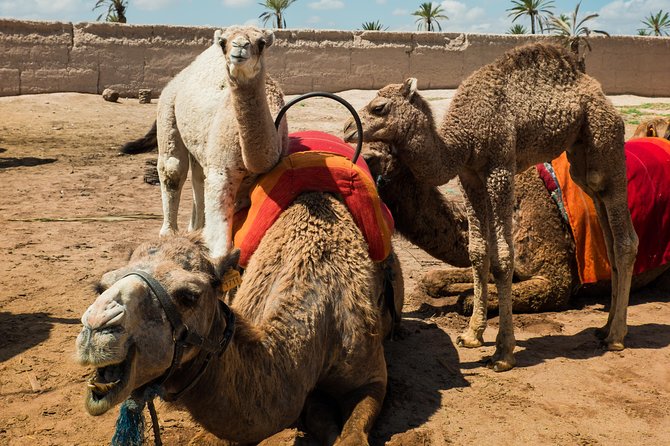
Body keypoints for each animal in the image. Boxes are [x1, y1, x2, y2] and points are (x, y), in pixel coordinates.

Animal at [123, 25, 288, 268]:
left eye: (261, 43)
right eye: (223, 42)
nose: (239, 47)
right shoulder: (223, 170)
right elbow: (219, 240)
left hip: (201, 143)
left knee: (198, 178)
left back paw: (195, 228)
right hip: (167, 109)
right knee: (173, 170)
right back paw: (169, 233)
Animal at [346, 41, 640, 372]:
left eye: (379, 107)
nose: (347, 128)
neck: (461, 141)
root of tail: (597, 90)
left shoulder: (500, 169)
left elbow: (502, 258)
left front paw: (503, 353)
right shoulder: (469, 177)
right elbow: (478, 252)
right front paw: (471, 335)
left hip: (605, 135)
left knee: (624, 237)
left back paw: (616, 336)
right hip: (581, 153)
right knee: (603, 217)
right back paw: (605, 327)